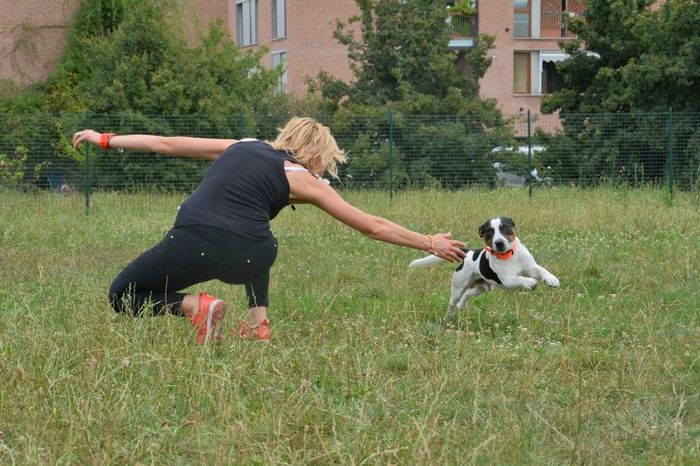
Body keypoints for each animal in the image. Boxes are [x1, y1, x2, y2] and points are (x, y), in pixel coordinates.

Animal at [410, 217, 559, 320]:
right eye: (489, 231)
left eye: (505, 227)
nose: (499, 243)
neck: (509, 255)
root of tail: (468, 253)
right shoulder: (507, 281)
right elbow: (519, 278)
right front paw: (530, 282)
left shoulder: (531, 267)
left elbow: (541, 270)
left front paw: (552, 280)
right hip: (458, 286)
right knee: (453, 303)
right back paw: (448, 318)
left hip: (482, 287)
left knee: (468, 294)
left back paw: (462, 305)